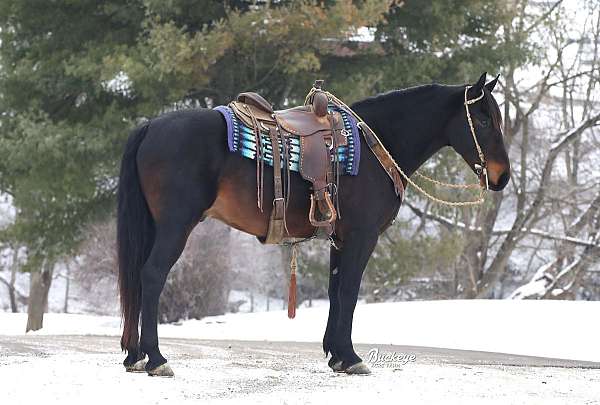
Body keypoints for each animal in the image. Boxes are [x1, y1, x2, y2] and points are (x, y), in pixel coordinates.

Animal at [117, 72, 510, 376]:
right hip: (175, 227)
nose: (501, 176)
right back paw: (156, 358)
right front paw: (351, 358)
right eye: (484, 120)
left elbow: (335, 292)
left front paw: (336, 355)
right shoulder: (362, 237)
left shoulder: (341, 239)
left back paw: (135, 356)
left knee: (137, 277)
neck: (374, 145)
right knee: (152, 275)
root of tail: (151, 126)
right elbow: (349, 292)